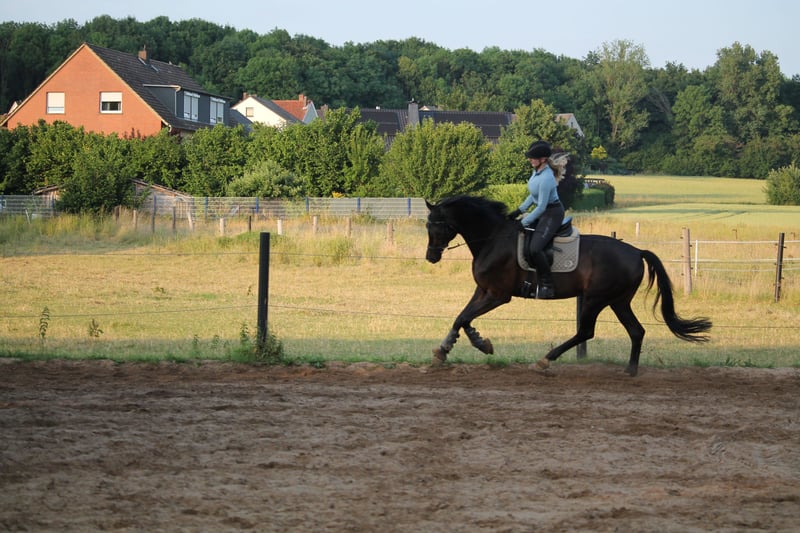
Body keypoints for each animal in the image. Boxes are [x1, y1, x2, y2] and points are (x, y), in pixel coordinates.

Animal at [424, 195, 711, 376]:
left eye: (437, 226)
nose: (431, 257)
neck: (493, 238)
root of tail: (636, 251)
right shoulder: (483, 290)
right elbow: (462, 317)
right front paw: (450, 348)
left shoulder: (497, 295)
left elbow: (465, 317)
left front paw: (477, 344)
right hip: (618, 301)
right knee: (636, 331)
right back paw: (630, 370)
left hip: (596, 299)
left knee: (586, 332)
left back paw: (545, 361)